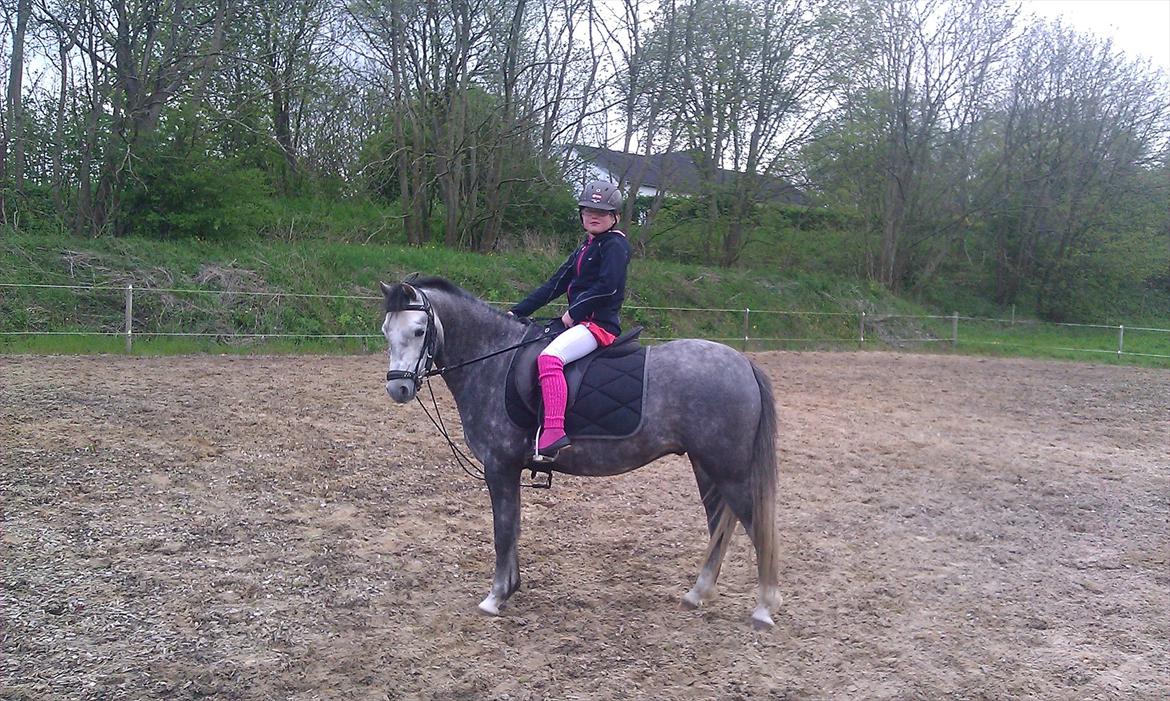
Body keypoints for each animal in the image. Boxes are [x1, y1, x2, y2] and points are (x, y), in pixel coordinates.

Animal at [379, 276, 781, 629]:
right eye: (386, 330)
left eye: (419, 330)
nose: (398, 389)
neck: (491, 360)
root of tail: (744, 363)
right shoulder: (510, 470)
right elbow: (514, 528)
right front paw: (511, 589)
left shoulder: (500, 466)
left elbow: (502, 530)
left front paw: (495, 597)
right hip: (707, 467)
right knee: (721, 524)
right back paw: (698, 594)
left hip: (728, 470)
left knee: (755, 524)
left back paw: (764, 608)